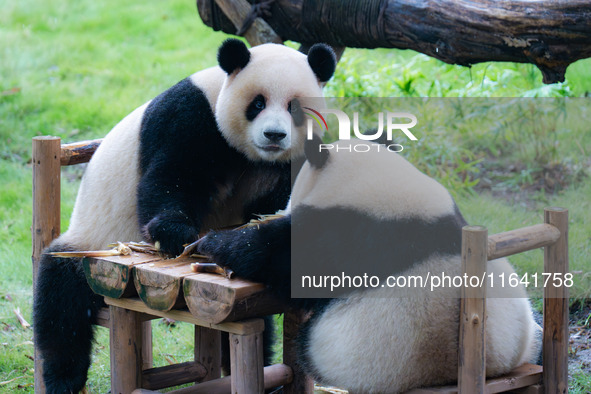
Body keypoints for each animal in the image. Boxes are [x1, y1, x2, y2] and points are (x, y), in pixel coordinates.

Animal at [32, 38, 338, 392]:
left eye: (295, 107)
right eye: (258, 103)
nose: (274, 135)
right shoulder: (190, 115)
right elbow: (172, 175)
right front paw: (174, 233)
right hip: (92, 243)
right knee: (61, 301)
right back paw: (62, 377)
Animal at [198, 137, 540, 392]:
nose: (281, 208)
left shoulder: (345, 233)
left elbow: (283, 257)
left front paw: (212, 245)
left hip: (366, 359)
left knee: (310, 345)